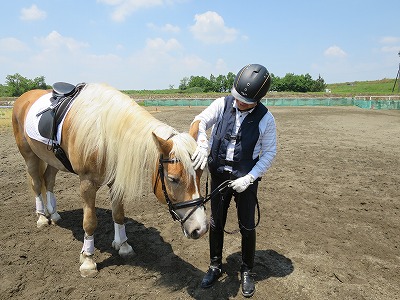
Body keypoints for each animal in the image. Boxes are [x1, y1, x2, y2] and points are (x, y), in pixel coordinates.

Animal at [11, 81, 208, 276]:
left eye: (200, 174)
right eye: (173, 179)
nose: (201, 228)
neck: (103, 135)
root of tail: (24, 97)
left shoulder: (115, 181)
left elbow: (118, 214)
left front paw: (123, 245)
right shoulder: (87, 183)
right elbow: (90, 222)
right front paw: (88, 260)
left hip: (52, 159)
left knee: (49, 180)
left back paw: (54, 214)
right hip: (29, 155)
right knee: (37, 183)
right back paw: (42, 218)